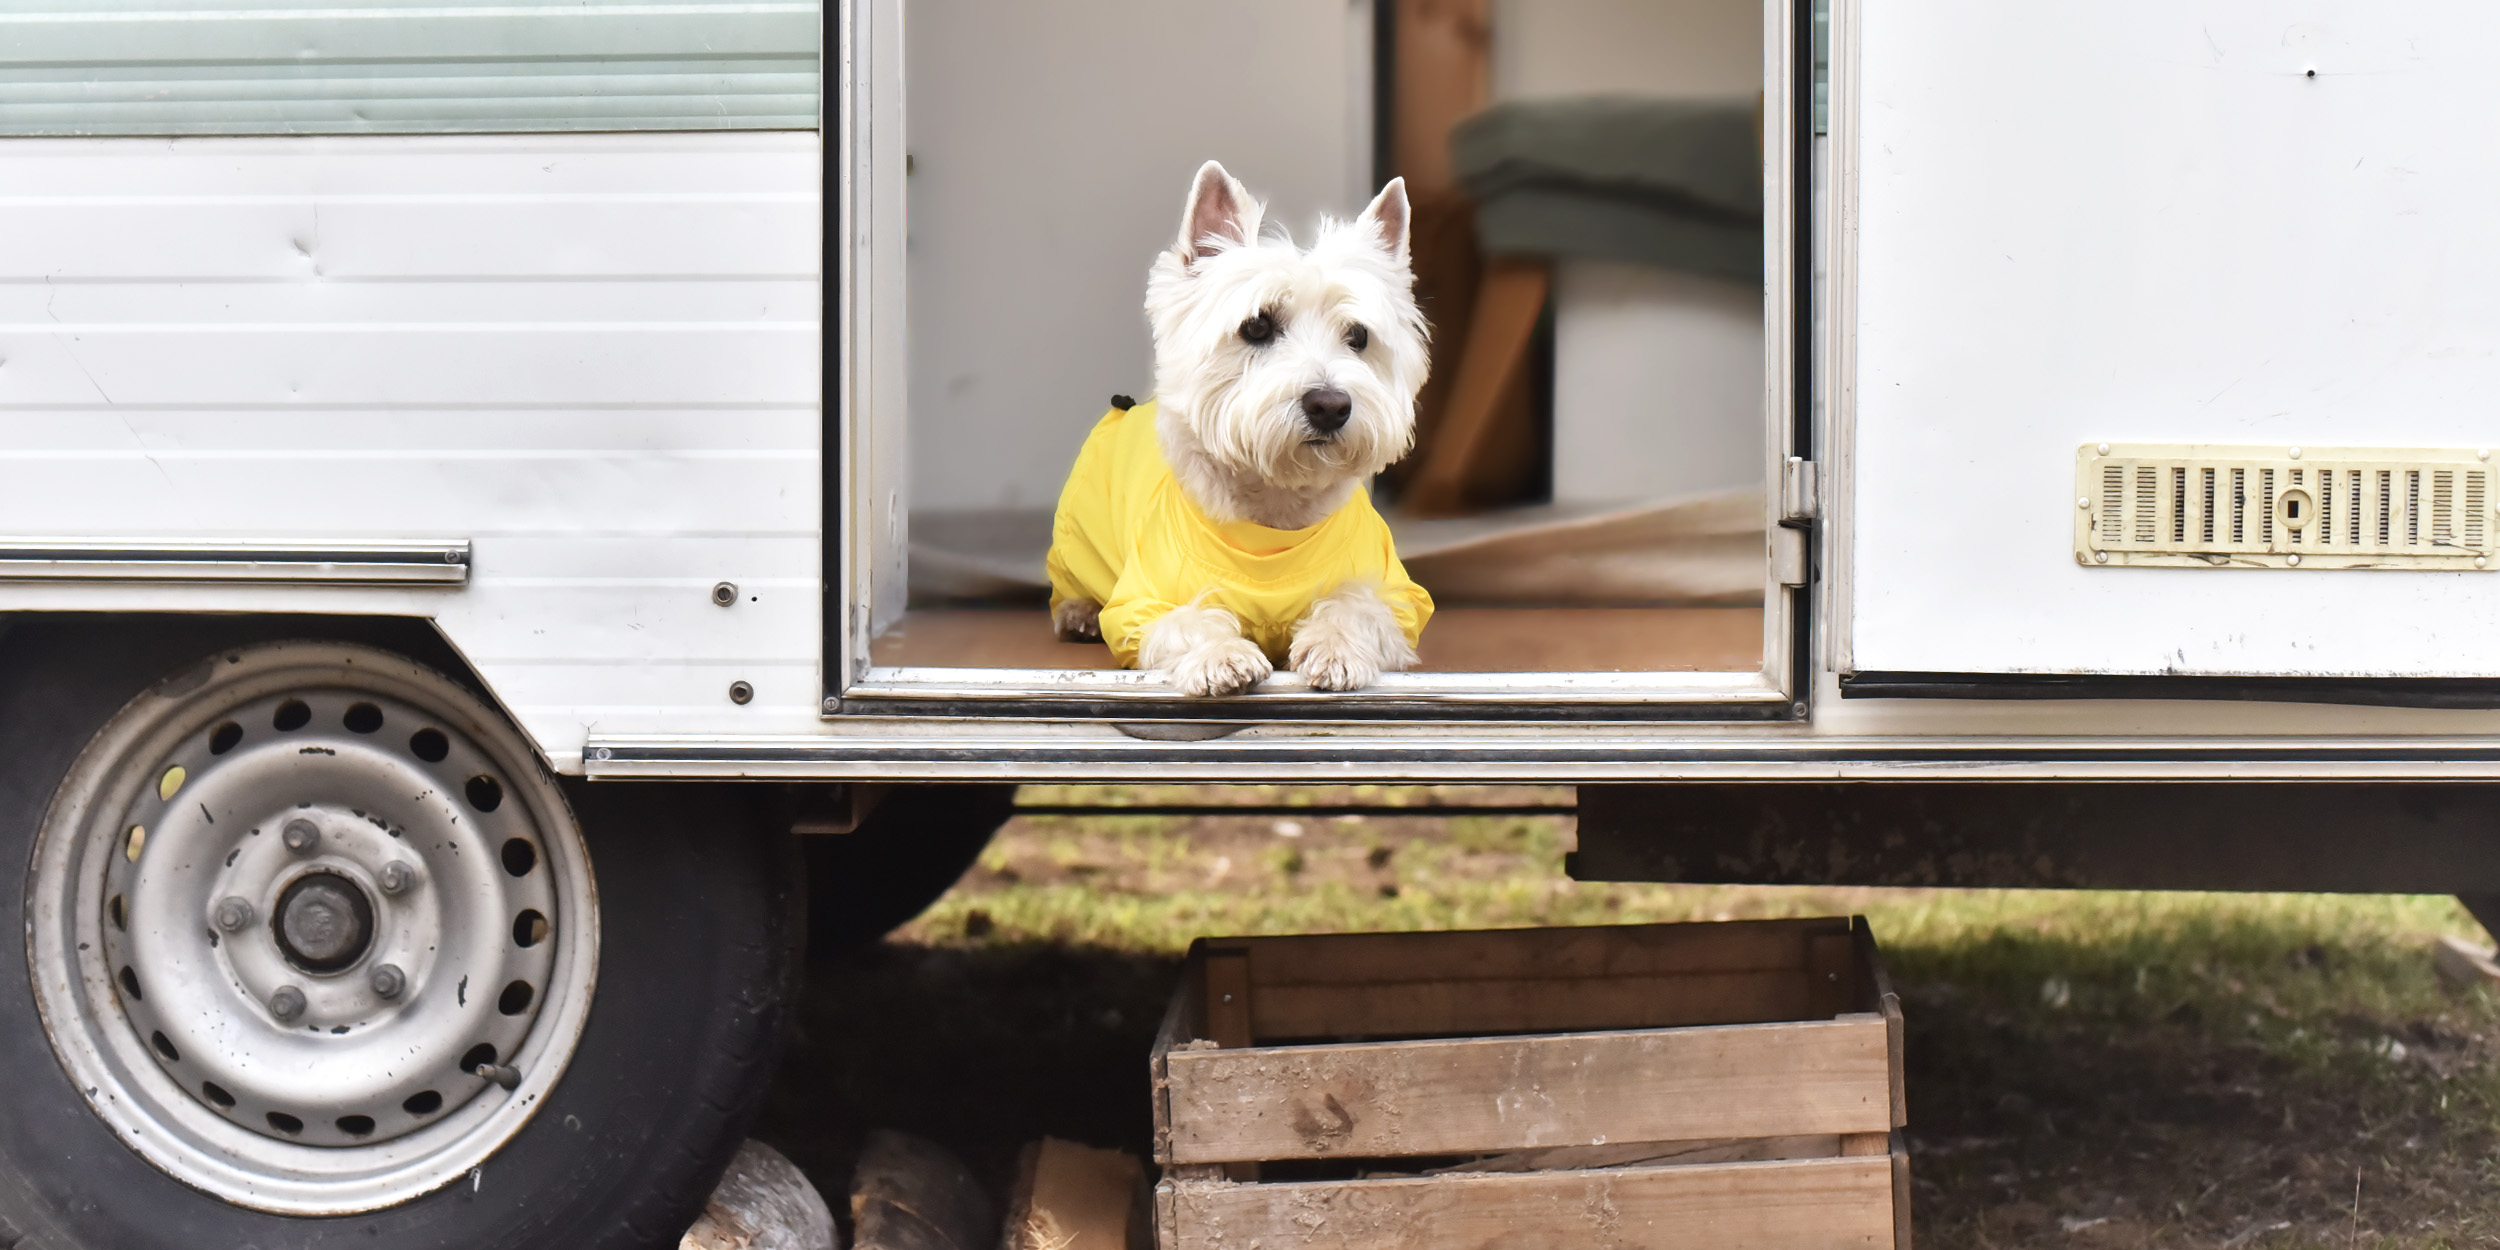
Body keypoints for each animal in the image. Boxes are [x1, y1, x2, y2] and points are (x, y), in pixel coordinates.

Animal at [1040, 158, 1430, 695]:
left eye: (1358, 336)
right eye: (1258, 326)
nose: (1330, 405)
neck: (1273, 511)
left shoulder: (1399, 598)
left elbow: (1358, 607)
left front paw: (1335, 647)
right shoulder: (1142, 602)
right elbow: (1185, 621)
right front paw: (1221, 656)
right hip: (1079, 536)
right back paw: (1077, 614)